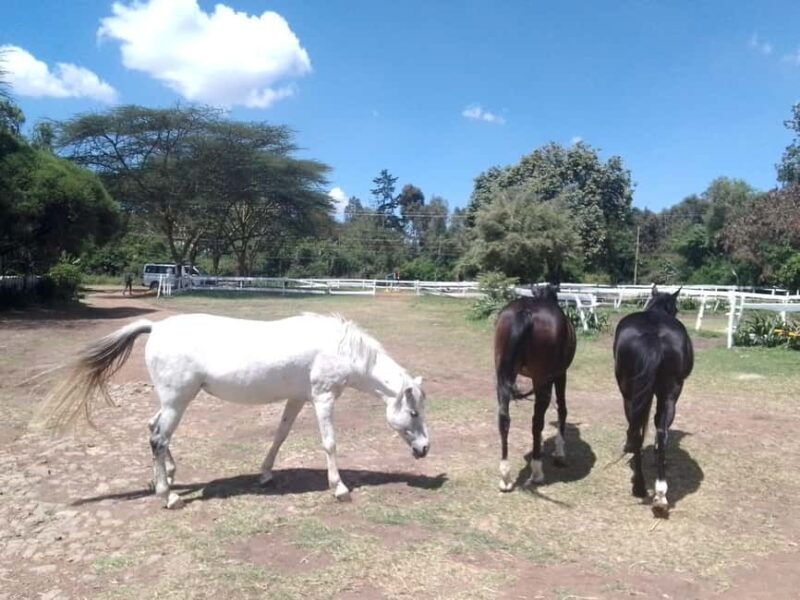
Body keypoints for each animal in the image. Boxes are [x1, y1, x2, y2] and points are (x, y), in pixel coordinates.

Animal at [40, 313, 430, 509]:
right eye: (414, 414)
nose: (424, 449)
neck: (338, 346)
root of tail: (157, 326)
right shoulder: (323, 398)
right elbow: (330, 444)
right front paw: (339, 488)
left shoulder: (297, 399)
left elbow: (280, 434)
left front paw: (265, 474)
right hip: (178, 401)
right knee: (158, 438)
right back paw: (169, 496)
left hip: (171, 402)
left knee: (154, 431)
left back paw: (165, 477)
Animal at [494, 284, 577, 491]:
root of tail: (526, 312)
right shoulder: (560, 374)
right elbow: (562, 409)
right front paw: (559, 452)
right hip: (543, 380)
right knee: (537, 421)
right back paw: (537, 471)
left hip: (503, 377)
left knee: (504, 419)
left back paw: (505, 476)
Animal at [613, 286, 693, 516]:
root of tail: (653, 336)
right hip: (669, 393)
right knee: (656, 430)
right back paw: (657, 491)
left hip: (632, 392)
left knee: (639, 431)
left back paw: (646, 489)